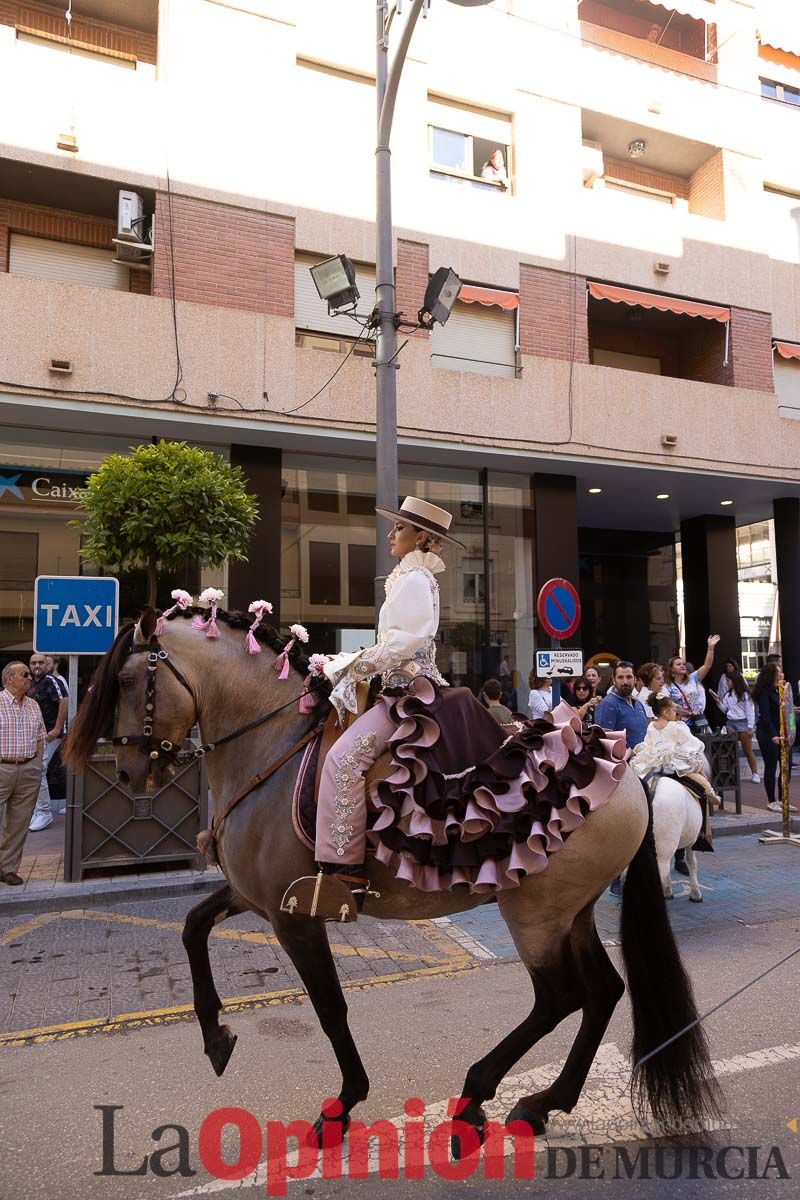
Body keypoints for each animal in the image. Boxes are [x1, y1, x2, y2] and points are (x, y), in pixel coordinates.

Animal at [65, 614, 724, 1147]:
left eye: (129, 683)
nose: (127, 771)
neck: (269, 747)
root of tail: (627, 774)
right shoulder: (257, 897)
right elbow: (192, 926)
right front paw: (215, 1036)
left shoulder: (294, 913)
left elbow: (330, 1008)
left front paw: (341, 1107)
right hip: (572, 912)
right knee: (603, 991)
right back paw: (542, 1103)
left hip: (535, 914)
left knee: (560, 997)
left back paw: (476, 1097)